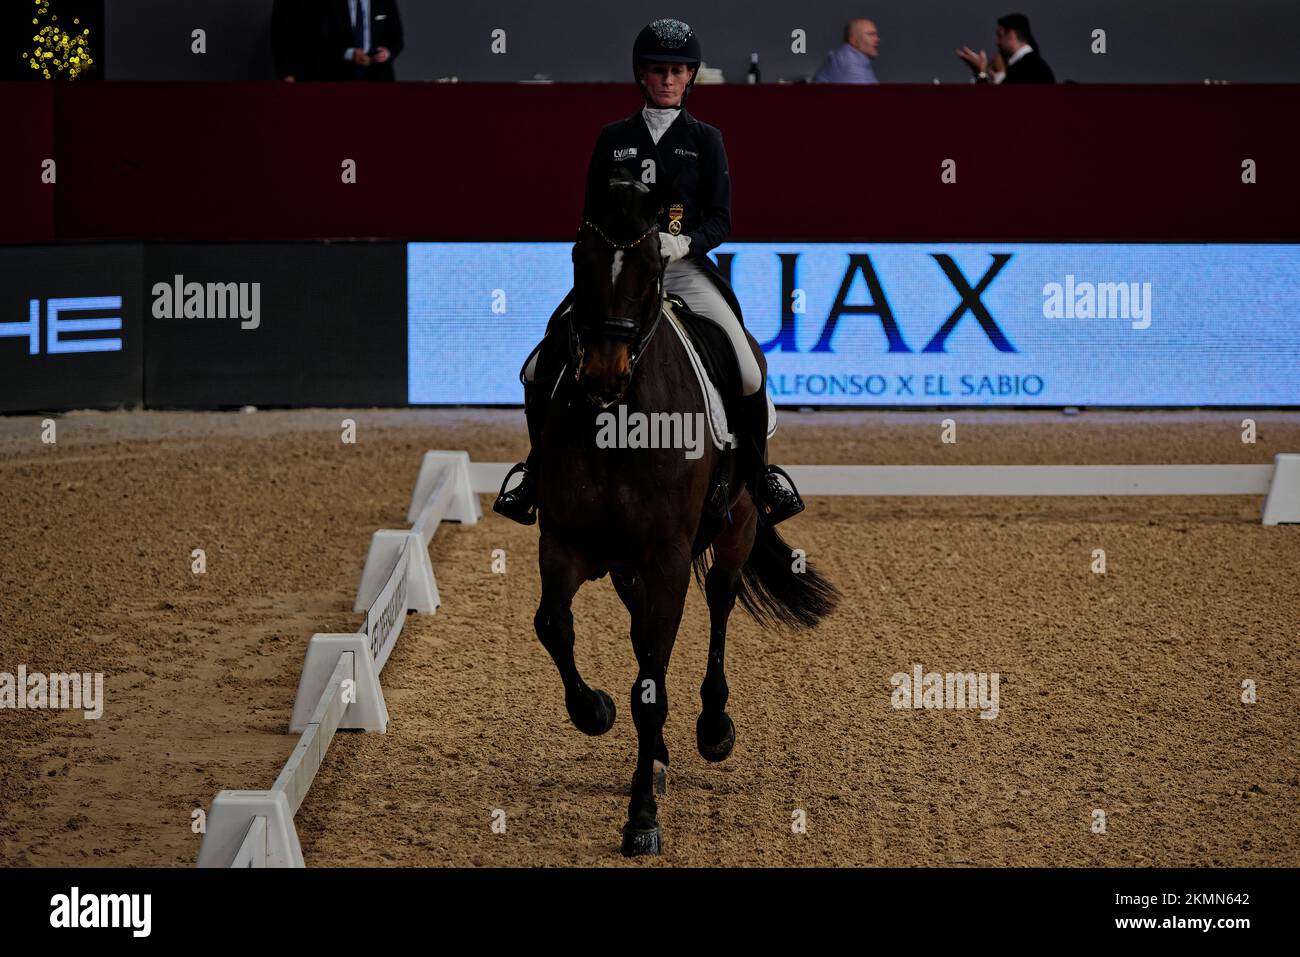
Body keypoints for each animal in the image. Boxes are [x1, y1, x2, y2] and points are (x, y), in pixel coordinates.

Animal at [530, 174, 842, 858]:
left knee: (720, 602)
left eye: (650, 266)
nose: (602, 376)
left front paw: (641, 819)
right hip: (628, 565)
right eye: (578, 259)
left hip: (738, 524)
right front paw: (595, 711)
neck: (618, 425)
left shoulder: (667, 558)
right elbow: (554, 627)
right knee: (639, 631)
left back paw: (712, 728)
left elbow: (650, 688)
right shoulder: (563, 542)